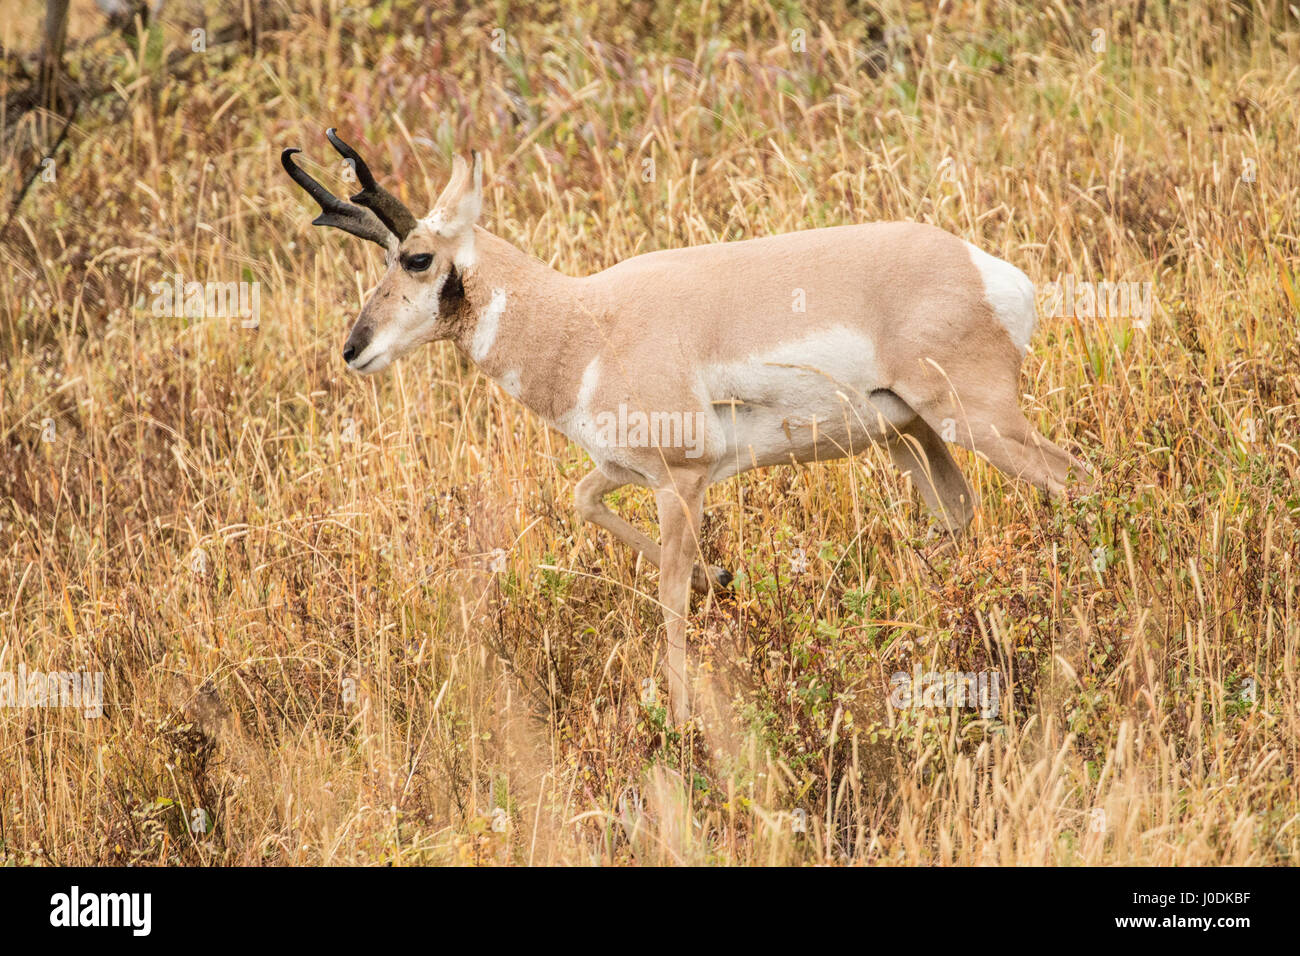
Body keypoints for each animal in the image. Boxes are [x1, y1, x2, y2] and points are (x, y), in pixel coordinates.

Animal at [282, 128, 1086, 723]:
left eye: (418, 257)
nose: (353, 349)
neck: (586, 323)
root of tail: (989, 270)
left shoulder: (683, 482)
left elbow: (670, 598)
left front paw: (678, 714)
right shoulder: (622, 471)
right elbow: (583, 502)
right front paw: (724, 575)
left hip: (978, 422)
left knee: (1074, 478)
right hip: (910, 437)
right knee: (960, 514)